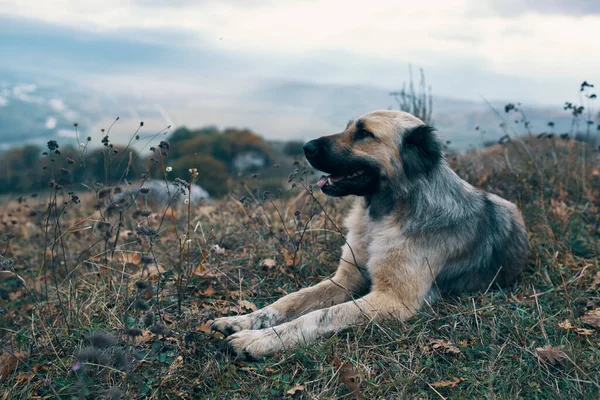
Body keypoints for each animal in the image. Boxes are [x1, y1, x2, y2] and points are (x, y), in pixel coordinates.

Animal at [212, 111, 528, 360]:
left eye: (364, 134)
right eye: (349, 127)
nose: (306, 147)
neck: (384, 215)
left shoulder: (392, 299)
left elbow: (320, 315)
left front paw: (261, 340)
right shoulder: (345, 279)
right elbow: (291, 300)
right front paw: (244, 320)